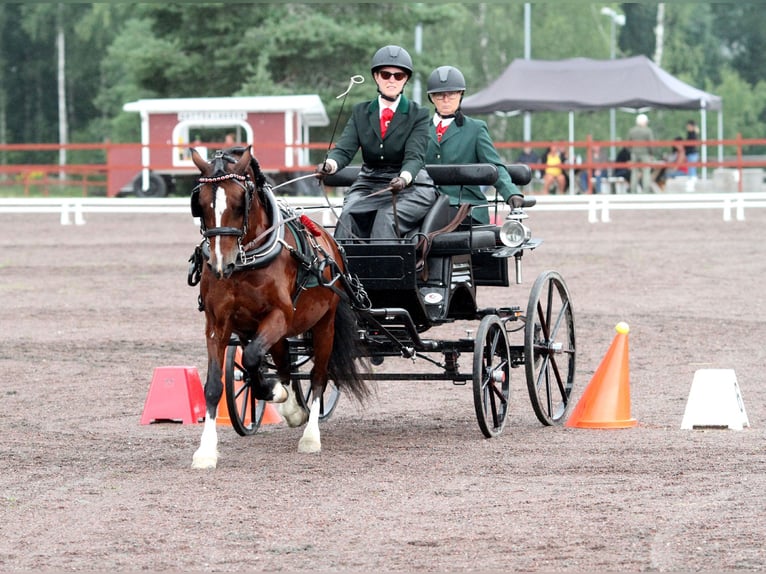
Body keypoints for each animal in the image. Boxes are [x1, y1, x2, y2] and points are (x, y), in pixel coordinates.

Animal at [188, 146, 370, 470]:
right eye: (201, 203)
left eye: (239, 202)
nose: (221, 265)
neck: (247, 263)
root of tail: (330, 241)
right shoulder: (217, 324)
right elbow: (214, 384)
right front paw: (206, 451)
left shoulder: (280, 317)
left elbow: (251, 357)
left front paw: (273, 391)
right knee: (284, 363)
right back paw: (293, 408)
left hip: (324, 325)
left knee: (318, 377)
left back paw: (310, 435)